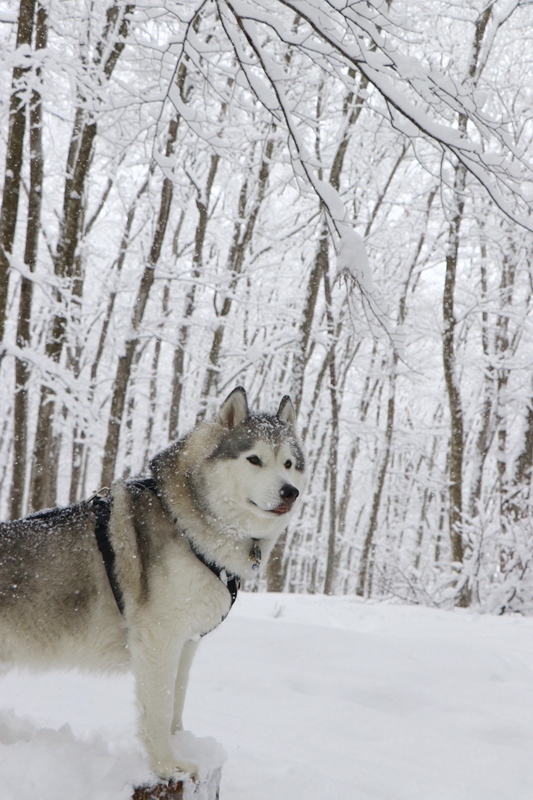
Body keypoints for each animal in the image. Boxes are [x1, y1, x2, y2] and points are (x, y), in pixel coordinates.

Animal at [1, 390, 304, 780]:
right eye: (254, 459)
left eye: (289, 463)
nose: (290, 492)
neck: (188, 523)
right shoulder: (159, 639)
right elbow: (158, 709)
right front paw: (167, 765)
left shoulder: (186, 643)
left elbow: (176, 702)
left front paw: (180, 743)